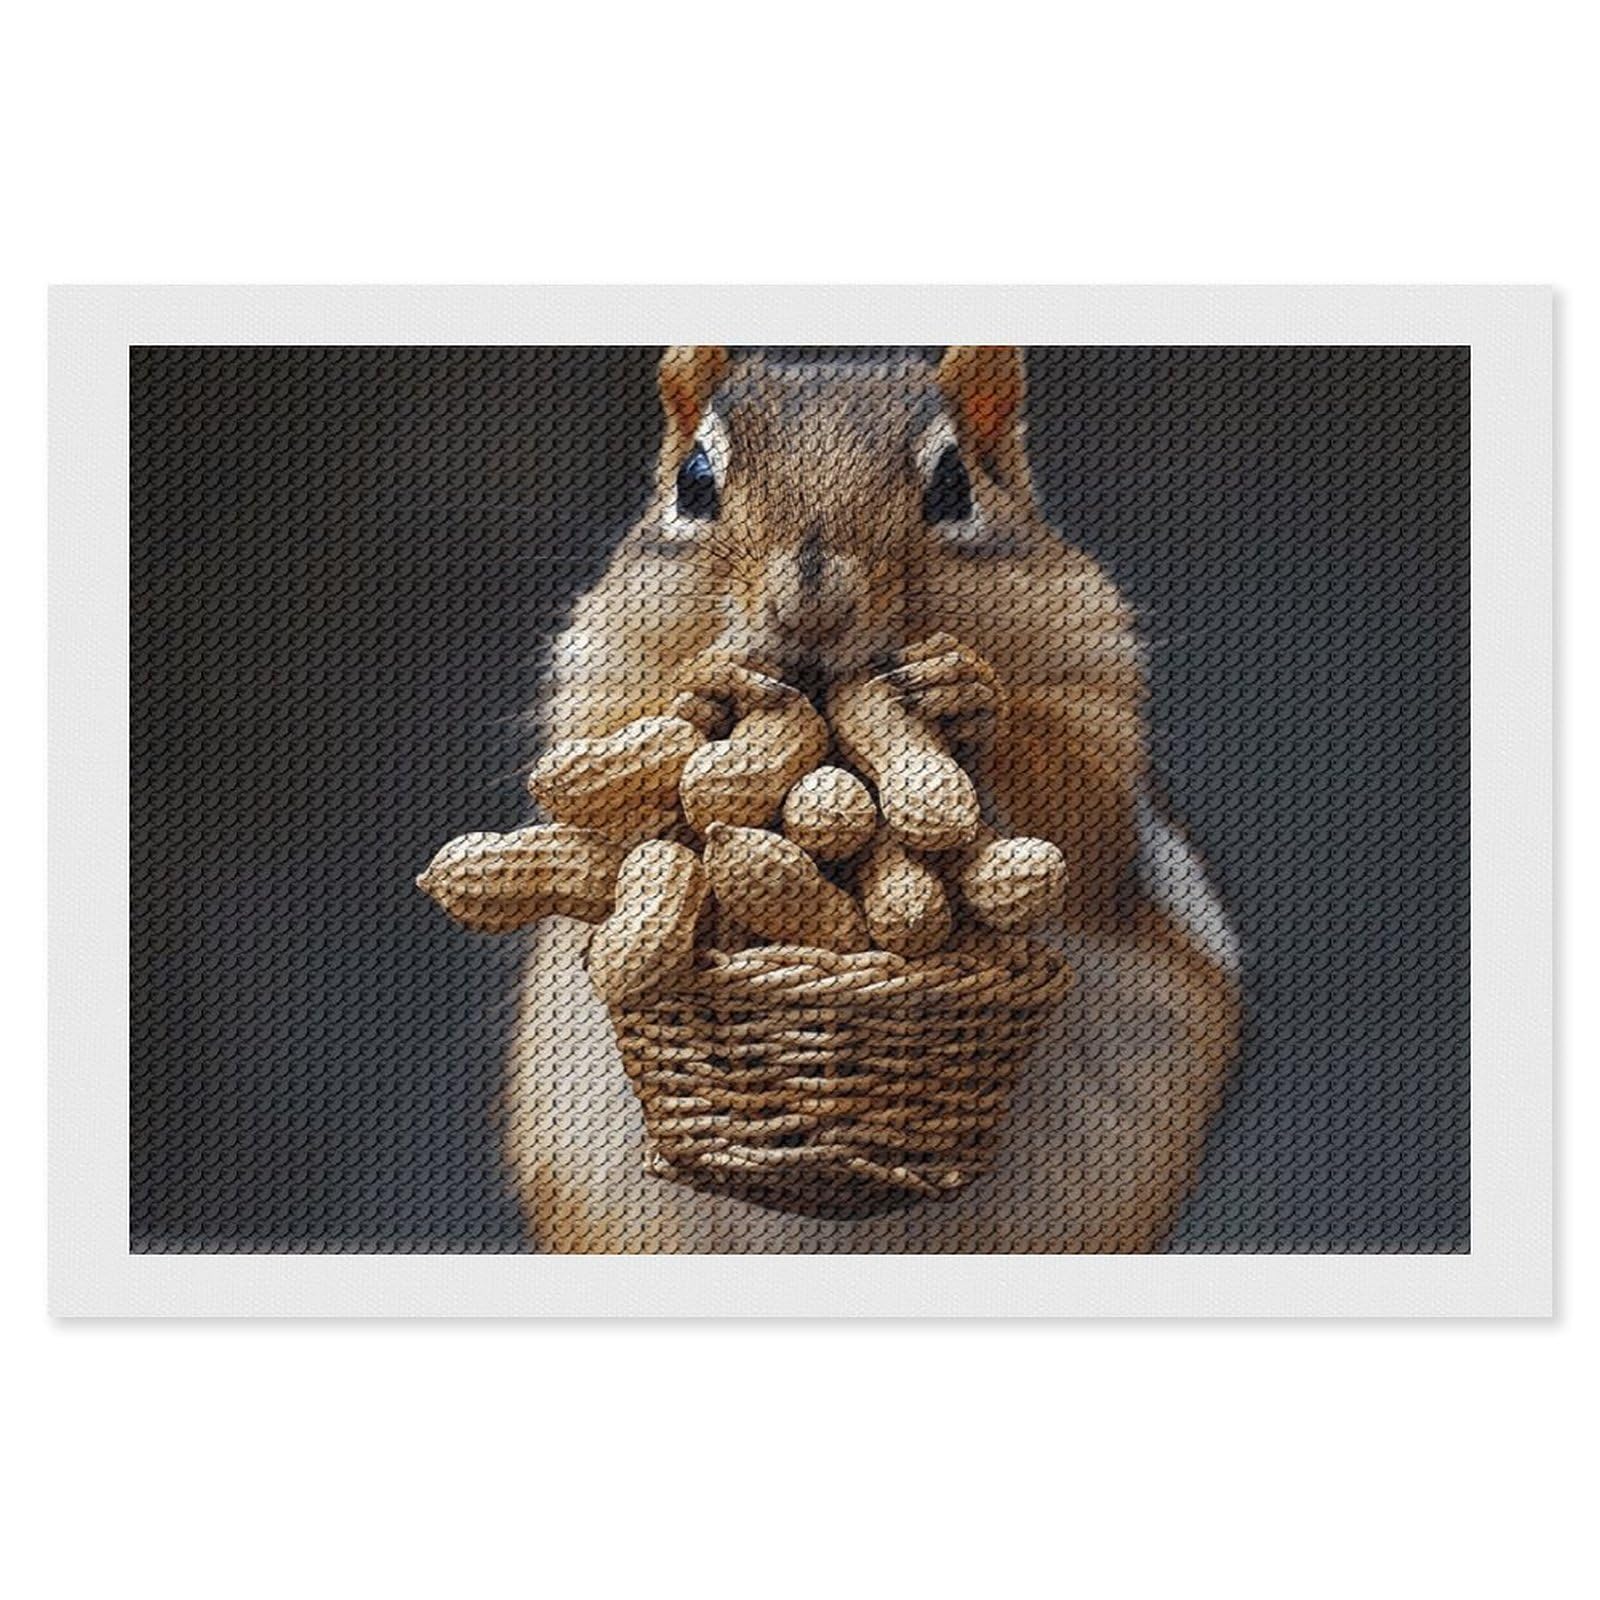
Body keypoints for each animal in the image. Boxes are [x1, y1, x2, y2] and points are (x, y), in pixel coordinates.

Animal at [507, 346, 1241, 1253]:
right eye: (694, 482)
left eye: (955, 485)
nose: (811, 602)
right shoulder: (597, 679)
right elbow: (600, 793)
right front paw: (708, 681)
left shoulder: (1098, 682)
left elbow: (1084, 820)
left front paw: (970, 694)